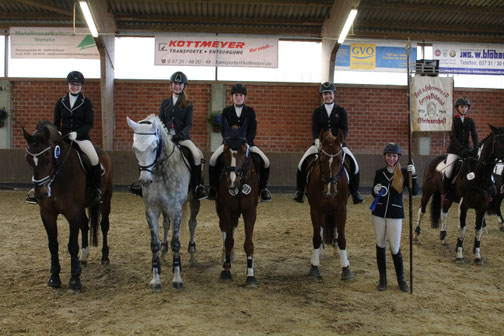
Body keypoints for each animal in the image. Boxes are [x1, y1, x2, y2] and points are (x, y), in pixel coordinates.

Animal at [22, 121, 112, 292]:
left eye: (48, 158)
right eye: (28, 159)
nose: (41, 193)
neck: (58, 176)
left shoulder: (72, 212)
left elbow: (72, 246)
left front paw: (75, 280)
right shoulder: (47, 213)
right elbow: (52, 245)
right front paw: (54, 278)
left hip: (105, 200)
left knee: (104, 226)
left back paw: (104, 257)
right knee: (85, 224)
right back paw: (83, 257)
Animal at [127, 115, 200, 288]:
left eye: (154, 147)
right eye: (134, 149)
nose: (145, 181)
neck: (160, 171)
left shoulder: (176, 211)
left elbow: (176, 243)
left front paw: (177, 278)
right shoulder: (151, 210)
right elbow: (154, 243)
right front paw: (155, 279)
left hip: (194, 201)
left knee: (192, 224)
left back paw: (192, 255)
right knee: (166, 225)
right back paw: (163, 254)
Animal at [216, 121, 260, 286]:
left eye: (242, 149)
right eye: (225, 149)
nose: (232, 182)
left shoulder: (250, 212)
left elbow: (249, 244)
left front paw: (250, 275)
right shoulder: (227, 210)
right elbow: (228, 240)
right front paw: (226, 271)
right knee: (225, 230)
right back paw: (225, 259)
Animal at [306, 129, 352, 280]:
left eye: (339, 159)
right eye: (322, 160)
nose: (329, 191)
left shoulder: (341, 210)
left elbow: (342, 238)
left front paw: (346, 269)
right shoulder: (315, 209)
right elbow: (316, 237)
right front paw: (314, 267)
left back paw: (336, 250)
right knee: (320, 230)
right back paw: (320, 252)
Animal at [414, 124, 504, 264]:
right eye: (500, 141)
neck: (479, 175)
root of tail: (434, 159)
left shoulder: (482, 206)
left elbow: (478, 230)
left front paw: (477, 256)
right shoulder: (464, 205)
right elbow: (462, 228)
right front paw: (459, 255)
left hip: (448, 197)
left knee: (444, 212)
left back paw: (443, 237)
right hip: (427, 191)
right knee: (421, 211)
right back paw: (416, 236)